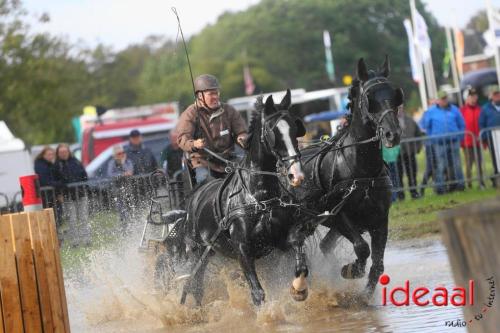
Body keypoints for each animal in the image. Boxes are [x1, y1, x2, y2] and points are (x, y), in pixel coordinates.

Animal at [166, 89, 310, 304]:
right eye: (273, 132)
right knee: (194, 285)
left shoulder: (280, 241)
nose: (297, 175)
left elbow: (300, 262)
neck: (258, 196)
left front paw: (298, 289)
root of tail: (194, 196)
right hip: (198, 253)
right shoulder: (243, 250)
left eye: (295, 129)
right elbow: (258, 293)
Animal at [290, 57, 402, 300]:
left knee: (323, 245)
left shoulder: (380, 219)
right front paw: (351, 269)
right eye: (369, 99)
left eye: (395, 94)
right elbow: (362, 248)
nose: (393, 134)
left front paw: (365, 296)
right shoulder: (339, 216)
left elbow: (377, 265)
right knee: (298, 243)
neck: (362, 171)